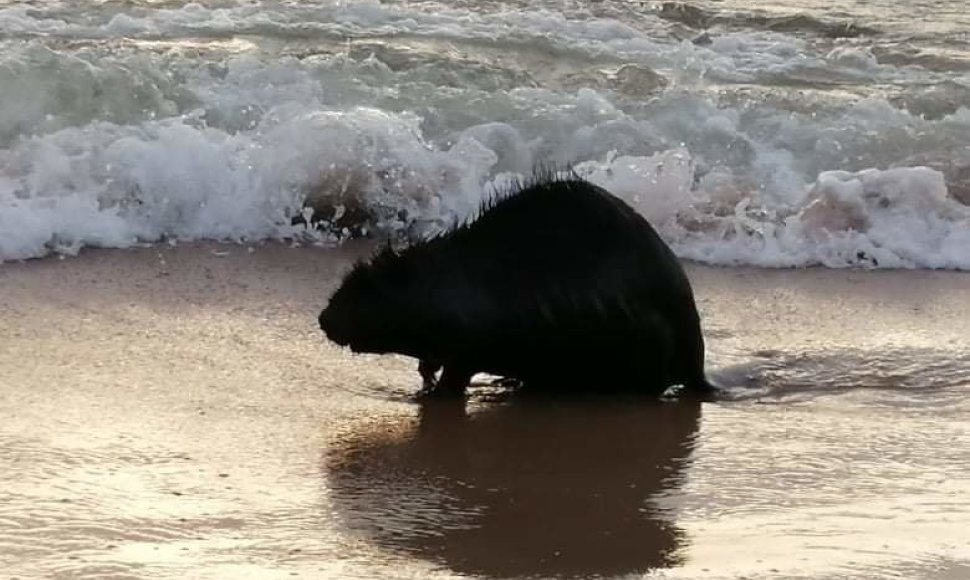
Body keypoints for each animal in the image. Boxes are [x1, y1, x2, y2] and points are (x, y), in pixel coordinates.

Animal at [318, 174, 712, 396]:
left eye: (364, 288)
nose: (324, 319)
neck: (445, 278)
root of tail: (698, 370)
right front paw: (426, 377)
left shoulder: (469, 340)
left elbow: (457, 371)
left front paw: (430, 394)